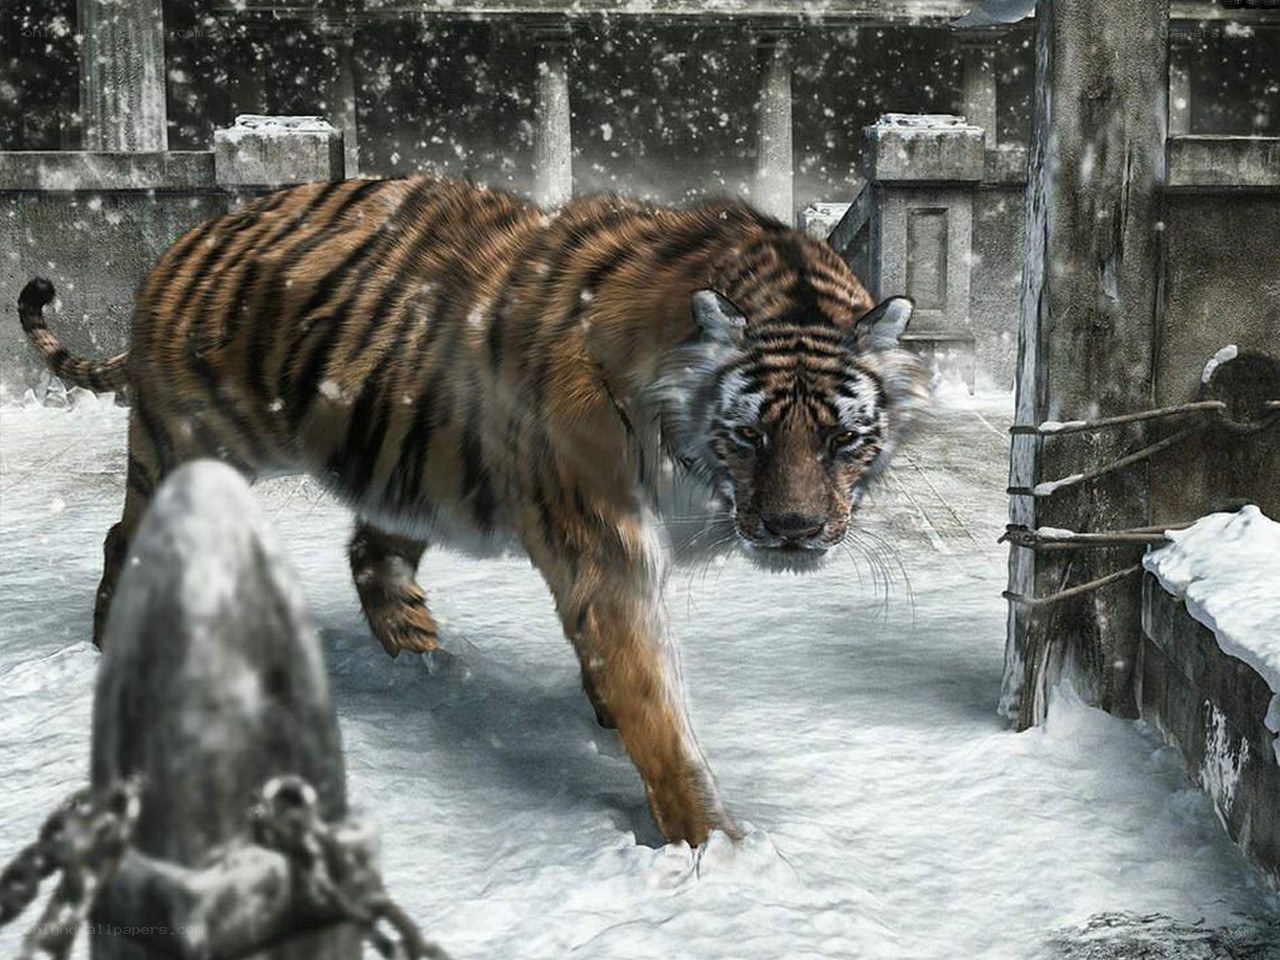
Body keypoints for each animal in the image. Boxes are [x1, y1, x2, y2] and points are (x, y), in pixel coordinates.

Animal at [18, 173, 929, 846]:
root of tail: (185, 238)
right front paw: (716, 847)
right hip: (195, 442)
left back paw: (423, 662)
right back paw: (114, 640)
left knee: (371, 553)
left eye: (843, 440)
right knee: (124, 535)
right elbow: (655, 703)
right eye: (748, 433)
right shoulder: (607, 548)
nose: (795, 531)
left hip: (407, 466)